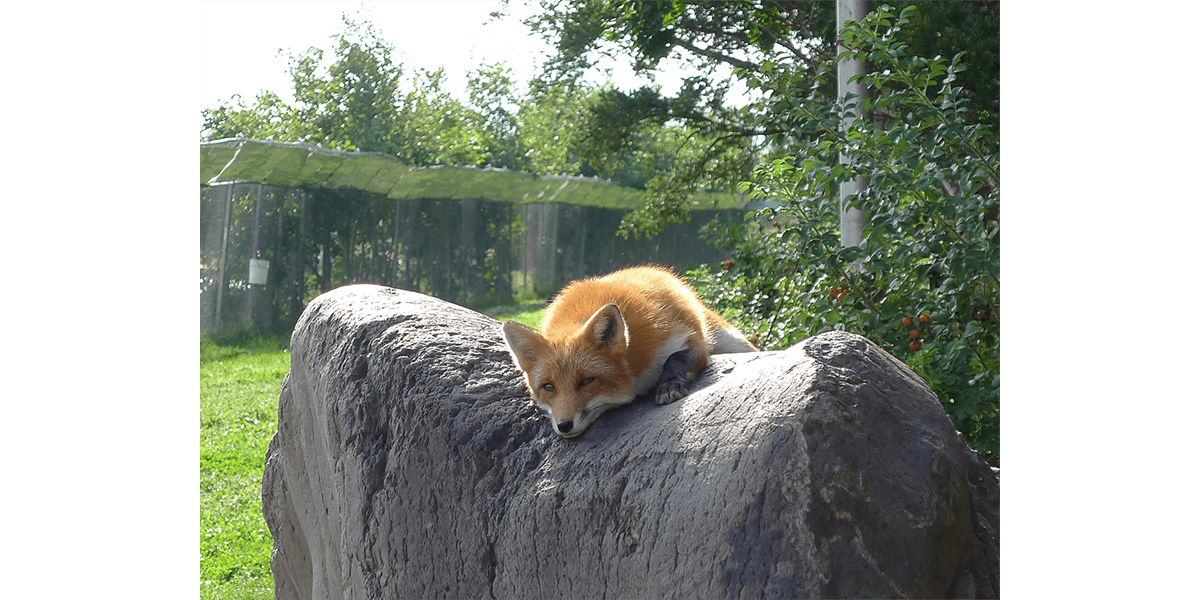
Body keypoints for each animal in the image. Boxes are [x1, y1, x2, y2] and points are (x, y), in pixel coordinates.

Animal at [501, 265, 753, 439]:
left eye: (587, 381)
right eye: (548, 387)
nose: (564, 425)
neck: (633, 372)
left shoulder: (689, 340)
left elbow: (674, 358)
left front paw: (669, 385)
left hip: (735, 342)